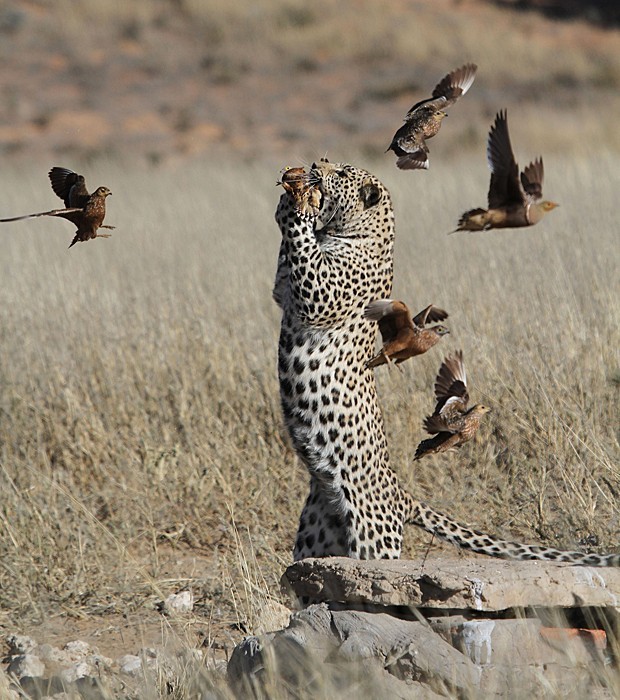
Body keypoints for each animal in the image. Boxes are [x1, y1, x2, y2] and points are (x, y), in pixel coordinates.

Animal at [274, 156, 620, 568]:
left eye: (341, 173)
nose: (315, 164)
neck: (358, 232)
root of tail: (400, 494)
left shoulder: (320, 295)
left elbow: (306, 257)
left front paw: (300, 206)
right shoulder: (285, 292)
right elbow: (285, 269)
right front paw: (289, 198)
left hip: (373, 535)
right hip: (316, 534)